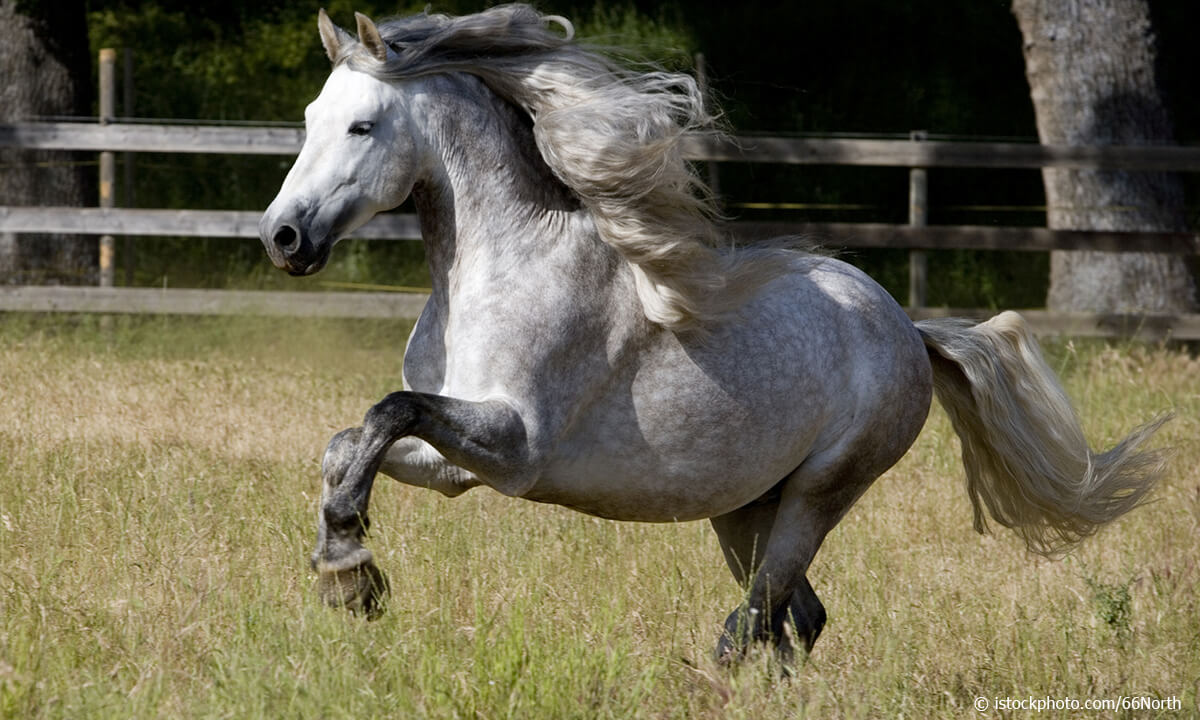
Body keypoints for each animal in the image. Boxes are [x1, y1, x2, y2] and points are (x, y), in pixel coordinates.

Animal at [258, 5, 1167, 664]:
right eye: (308, 116)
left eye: (363, 126)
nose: (283, 237)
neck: (503, 267)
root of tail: (907, 330)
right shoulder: (454, 458)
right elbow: (349, 442)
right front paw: (347, 571)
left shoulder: (510, 450)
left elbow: (387, 412)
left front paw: (347, 573)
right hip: (743, 508)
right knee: (797, 618)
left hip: (818, 494)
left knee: (756, 620)